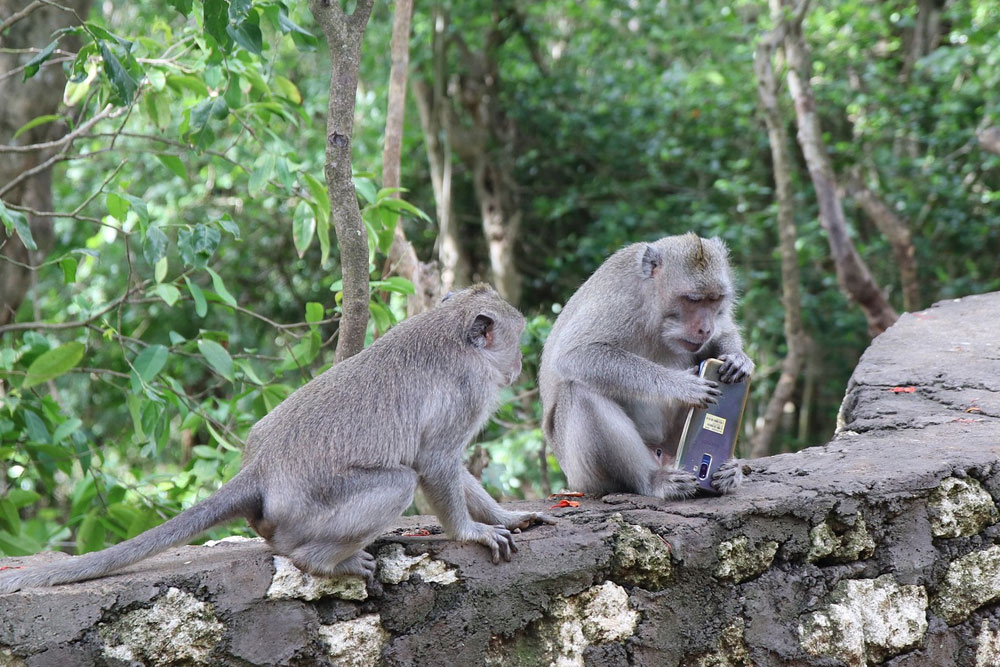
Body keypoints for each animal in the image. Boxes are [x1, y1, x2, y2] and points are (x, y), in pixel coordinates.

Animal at [0, 286, 556, 596]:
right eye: (518, 340)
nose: (520, 365)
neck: (451, 331)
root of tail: (259, 470)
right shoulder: (467, 391)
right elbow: (435, 463)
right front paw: (470, 533)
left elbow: (451, 467)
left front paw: (507, 516)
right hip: (309, 509)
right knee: (396, 483)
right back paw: (323, 560)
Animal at [544, 235, 752, 500]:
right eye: (693, 300)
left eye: (714, 300)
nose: (704, 328)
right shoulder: (620, 303)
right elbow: (574, 354)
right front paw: (681, 385)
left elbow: (722, 332)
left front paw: (738, 359)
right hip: (585, 476)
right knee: (580, 392)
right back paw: (653, 480)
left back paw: (730, 471)